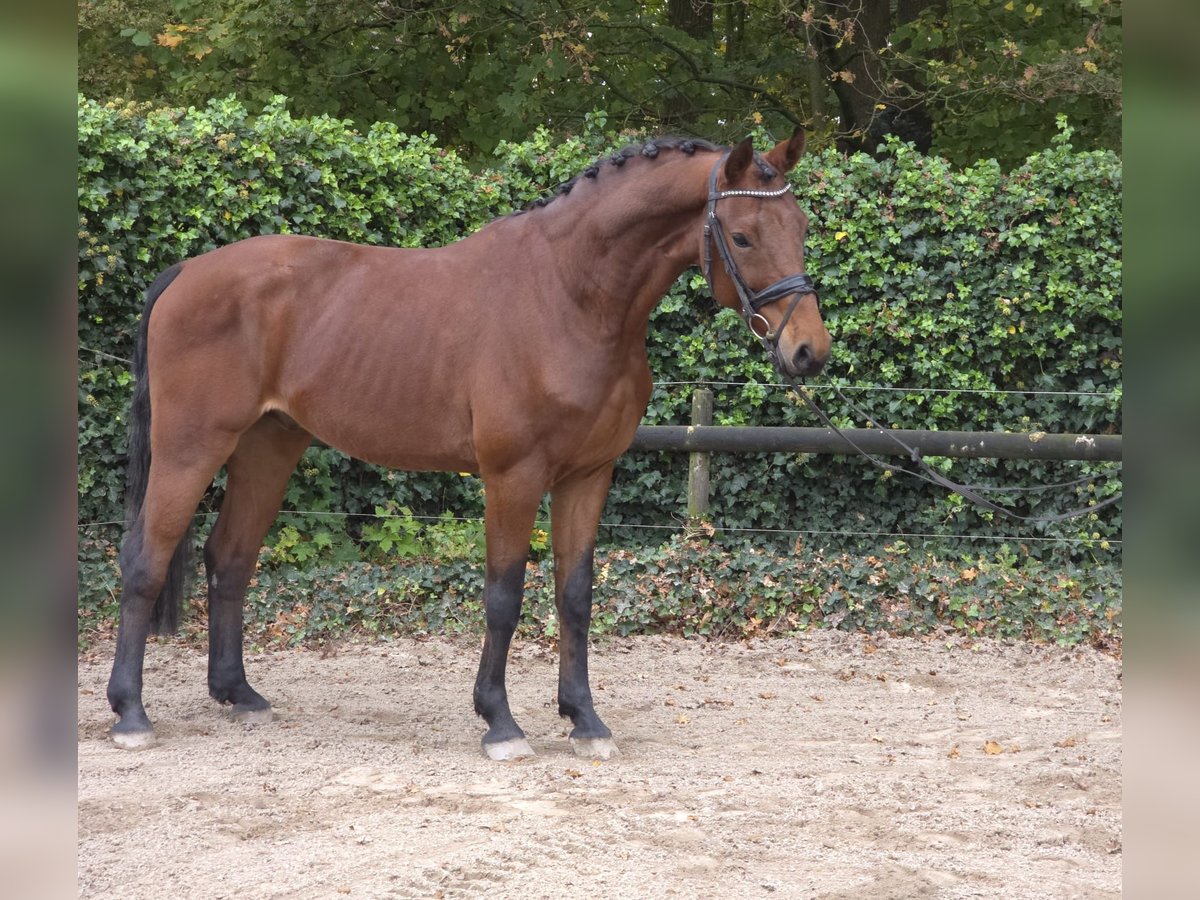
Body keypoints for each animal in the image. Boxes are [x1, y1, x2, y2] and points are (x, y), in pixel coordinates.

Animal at [108, 128, 830, 763]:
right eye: (742, 234)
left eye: (800, 227)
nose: (809, 352)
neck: (569, 295)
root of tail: (186, 272)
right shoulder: (513, 475)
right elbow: (504, 595)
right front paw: (501, 723)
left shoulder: (588, 474)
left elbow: (575, 595)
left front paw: (586, 721)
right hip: (190, 447)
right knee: (145, 558)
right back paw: (131, 713)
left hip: (268, 446)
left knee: (229, 558)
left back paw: (240, 695)